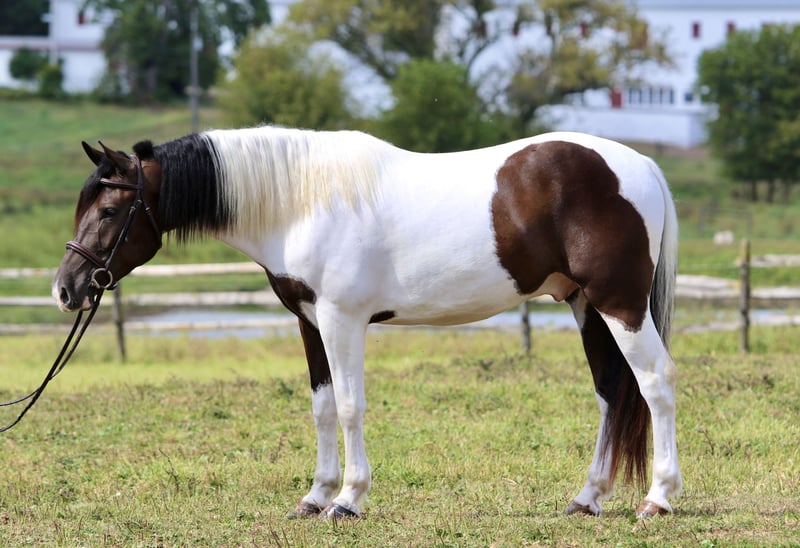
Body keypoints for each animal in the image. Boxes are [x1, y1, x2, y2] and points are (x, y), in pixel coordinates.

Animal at [53, 126, 682, 520]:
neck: (300, 203)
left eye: (109, 211)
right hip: (585, 305)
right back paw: (587, 498)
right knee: (611, 392)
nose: (66, 289)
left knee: (656, 384)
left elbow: (352, 406)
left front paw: (348, 501)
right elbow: (323, 407)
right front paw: (314, 496)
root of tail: (643, 166)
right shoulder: (310, 322)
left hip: (619, 303)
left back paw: (658, 499)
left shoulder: (342, 320)